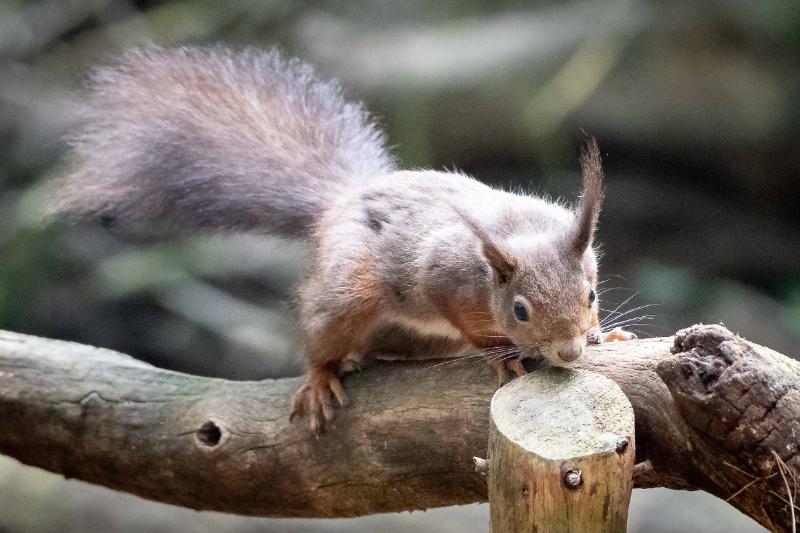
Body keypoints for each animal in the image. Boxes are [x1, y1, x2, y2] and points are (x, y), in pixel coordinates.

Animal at [53, 43, 636, 430]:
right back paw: (321, 379)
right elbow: (469, 323)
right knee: (322, 332)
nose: (569, 351)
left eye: (590, 295)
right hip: (349, 288)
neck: (513, 238)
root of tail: (339, 201)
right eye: (519, 310)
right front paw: (502, 353)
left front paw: (605, 335)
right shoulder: (443, 273)